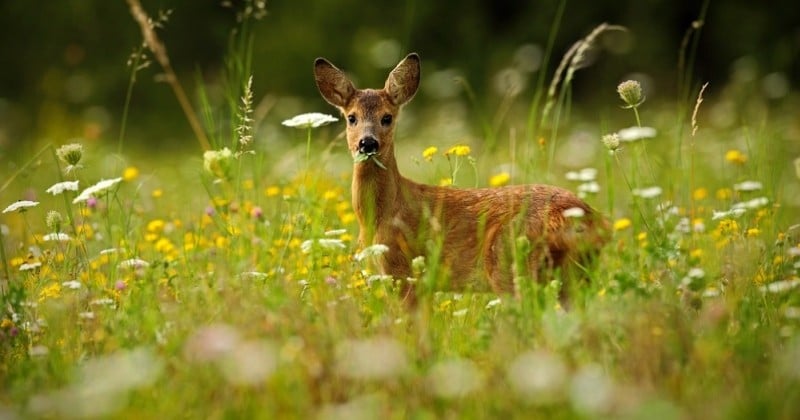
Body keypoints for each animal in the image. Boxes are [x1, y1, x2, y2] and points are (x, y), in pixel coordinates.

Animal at [316, 52, 608, 304]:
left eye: (386, 118)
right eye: (351, 118)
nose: (367, 143)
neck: (380, 216)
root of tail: (589, 219)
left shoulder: (403, 270)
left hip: (511, 263)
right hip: (573, 273)